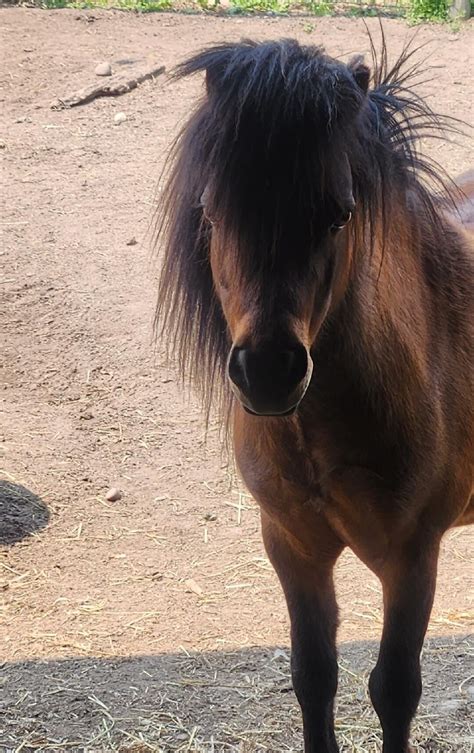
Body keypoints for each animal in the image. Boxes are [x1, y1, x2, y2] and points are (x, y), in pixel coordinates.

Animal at [155, 36, 473, 753]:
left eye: (340, 214)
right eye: (213, 210)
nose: (270, 371)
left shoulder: (413, 557)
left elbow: (394, 688)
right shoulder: (293, 547)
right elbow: (314, 676)